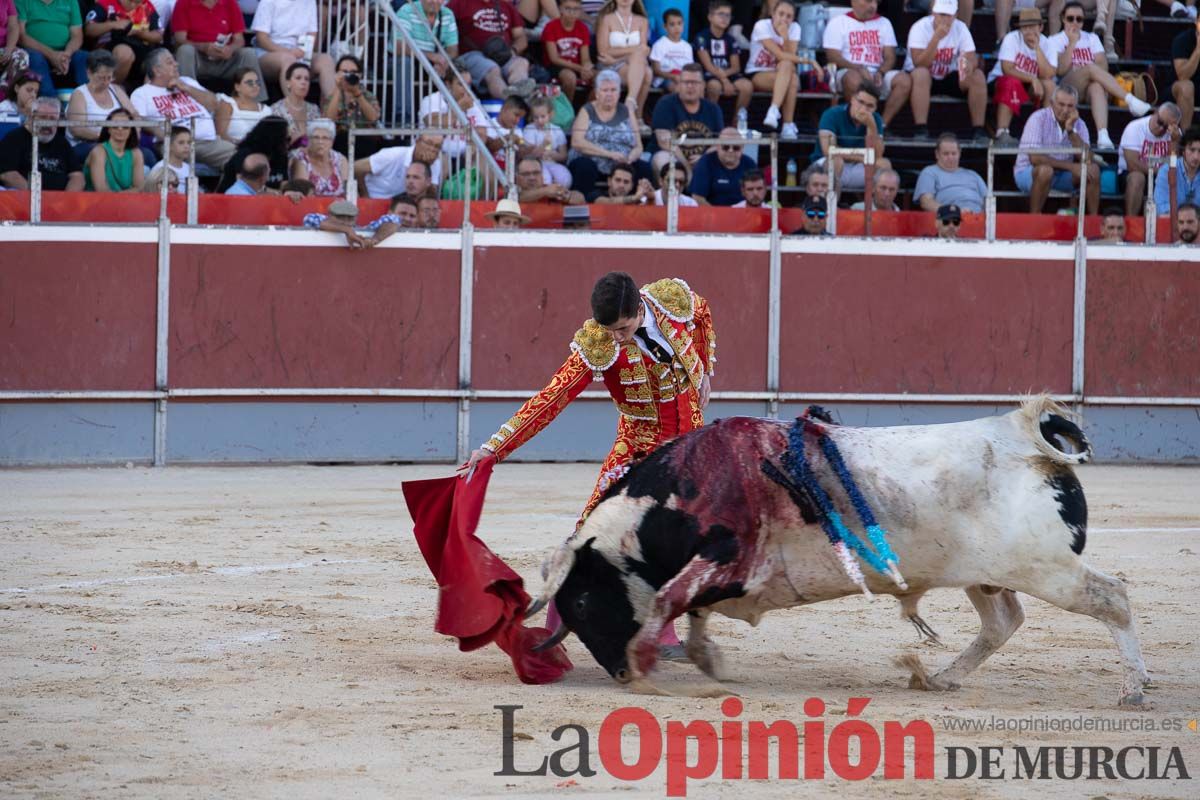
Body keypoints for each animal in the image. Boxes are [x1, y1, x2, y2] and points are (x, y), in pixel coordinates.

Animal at [530, 395, 1147, 705]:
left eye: (581, 602)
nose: (618, 674)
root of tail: (1023, 432)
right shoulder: (720, 575)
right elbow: (694, 611)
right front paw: (707, 660)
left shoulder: (722, 556)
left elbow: (667, 601)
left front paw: (654, 665)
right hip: (987, 573)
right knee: (1003, 622)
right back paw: (941, 678)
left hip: (1050, 569)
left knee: (1113, 599)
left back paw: (1134, 690)